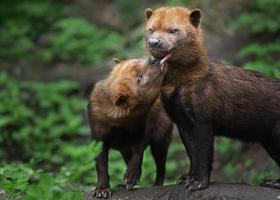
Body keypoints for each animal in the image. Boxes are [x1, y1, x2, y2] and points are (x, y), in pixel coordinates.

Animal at [88, 56, 173, 198]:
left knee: (161, 166)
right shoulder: (98, 135)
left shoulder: (141, 128)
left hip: (160, 138)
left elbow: (138, 152)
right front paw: (102, 190)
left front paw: (131, 177)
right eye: (139, 78)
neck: (119, 125)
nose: (153, 59)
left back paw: (154, 184)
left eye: (138, 60)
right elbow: (101, 164)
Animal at [144, 6, 280, 191]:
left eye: (173, 30)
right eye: (150, 29)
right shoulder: (181, 120)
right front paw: (187, 178)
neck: (181, 86)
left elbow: (204, 153)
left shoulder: (204, 118)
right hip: (270, 141)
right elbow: (193, 153)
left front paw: (198, 183)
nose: (155, 42)